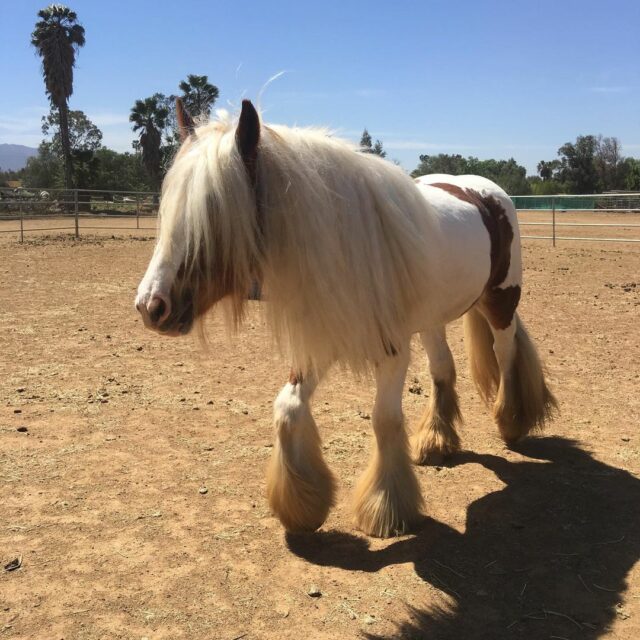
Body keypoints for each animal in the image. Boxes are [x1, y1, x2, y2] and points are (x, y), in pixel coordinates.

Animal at [135, 99, 556, 540]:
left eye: (215, 210)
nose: (151, 306)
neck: (342, 245)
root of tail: (481, 189)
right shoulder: (323, 340)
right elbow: (287, 408)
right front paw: (303, 504)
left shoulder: (391, 352)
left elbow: (384, 420)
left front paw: (387, 508)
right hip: (432, 319)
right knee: (443, 369)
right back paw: (436, 442)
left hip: (501, 300)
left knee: (506, 354)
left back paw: (511, 421)